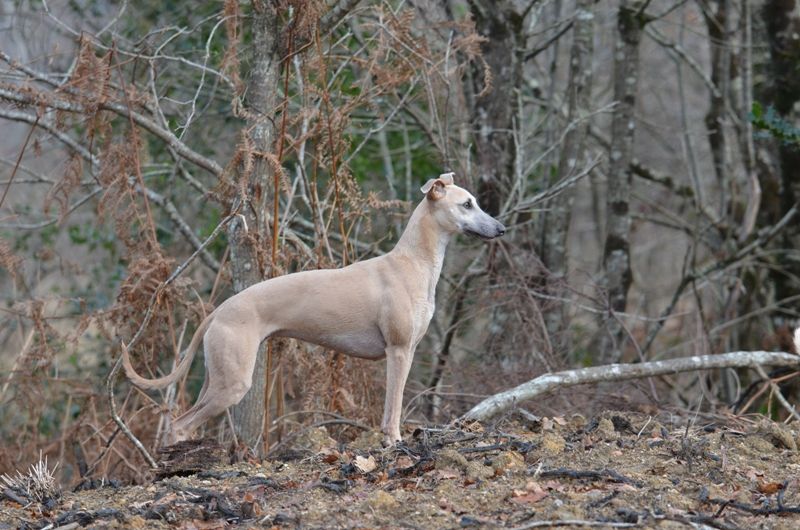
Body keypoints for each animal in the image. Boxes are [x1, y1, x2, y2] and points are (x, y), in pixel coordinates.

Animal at [122, 173, 505, 446]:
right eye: (467, 204)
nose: (501, 228)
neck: (412, 263)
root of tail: (218, 311)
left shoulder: (404, 350)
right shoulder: (399, 351)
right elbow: (393, 406)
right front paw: (395, 441)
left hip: (217, 377)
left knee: (182, 421)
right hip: (232, 383)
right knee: (178, 425)